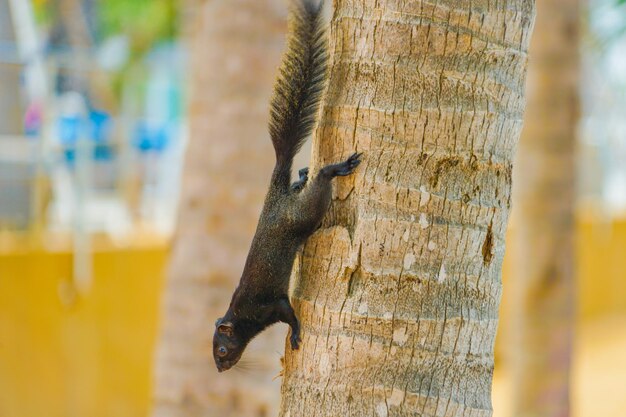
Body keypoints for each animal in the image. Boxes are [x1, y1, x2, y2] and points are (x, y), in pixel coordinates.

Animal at [211, 0, 360, 372]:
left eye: (222, 349)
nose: (219, 368)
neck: (240, 316)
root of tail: (275, 197)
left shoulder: (270, 306)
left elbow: (289, 314)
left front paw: (294, 335)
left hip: (304, 213)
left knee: (321, 184)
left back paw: (333, 169)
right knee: (302, 183)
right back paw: (302, 174)